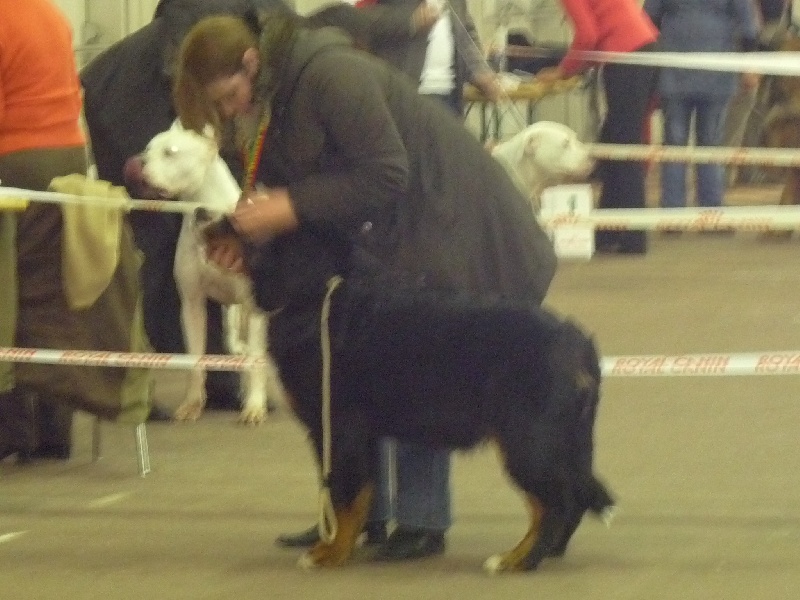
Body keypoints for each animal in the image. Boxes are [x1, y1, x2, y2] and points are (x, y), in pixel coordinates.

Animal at [125, 120, 284, 422]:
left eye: (170, 152)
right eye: (148, 149)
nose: (137, 163)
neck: (205, 209)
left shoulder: (255, 307)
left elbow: (256, 360)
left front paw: (254, 406)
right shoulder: (192, 304)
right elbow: (196, 360)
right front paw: (192, 403)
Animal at [262, 278, 612, 576]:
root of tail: (577, 341)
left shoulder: (337, 430)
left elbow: (342, 495)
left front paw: (330, 552)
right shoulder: (363, 436)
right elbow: (361, 495)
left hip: (528, 443)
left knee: (555, 505)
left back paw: (518, 560)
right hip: (563, 442)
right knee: (571, 499)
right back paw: (543, 551)